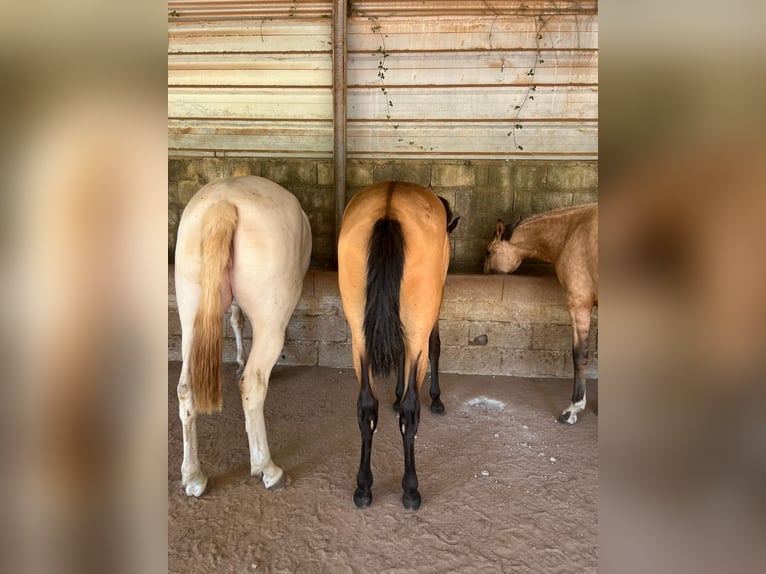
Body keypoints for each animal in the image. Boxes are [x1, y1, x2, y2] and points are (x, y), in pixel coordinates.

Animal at [175, 178, 312, 498]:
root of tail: (223, 204)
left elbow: (236, 318)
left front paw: (238, 359)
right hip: (270, 322)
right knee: (252, 384)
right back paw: (268, 469)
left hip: (190, 317)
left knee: (186, 388)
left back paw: (194, 477)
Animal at [340, 182, 452, 510]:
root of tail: (388, 210)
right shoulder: (430, 315)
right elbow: (436, 345)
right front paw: (436, 398)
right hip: (416, 330)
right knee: (410, 411)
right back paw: (411, 489)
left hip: (359, 338)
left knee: (366, 406)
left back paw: (363, 487)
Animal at [486, 202, 600, 424]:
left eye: (488, 252)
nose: (484, 272)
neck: (571, 231)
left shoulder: (579, 303)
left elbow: (579, 354)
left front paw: (573, 408)